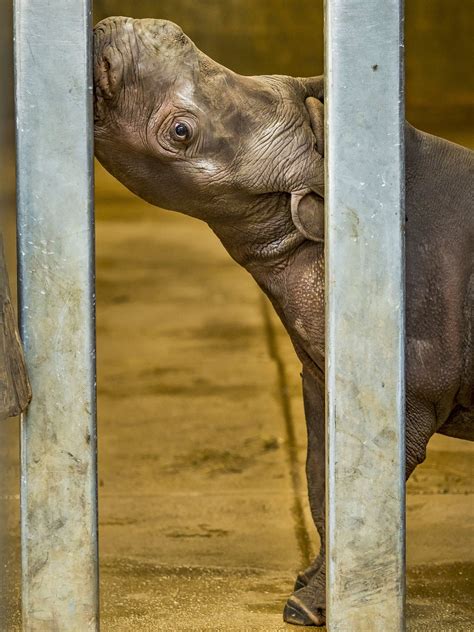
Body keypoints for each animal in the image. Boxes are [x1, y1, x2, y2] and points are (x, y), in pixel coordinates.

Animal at [93, 14, 474, 628]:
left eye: (181, 133)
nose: (142, 25)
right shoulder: (322, 369)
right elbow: (322, 476)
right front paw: (307, 590)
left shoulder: (411, 385)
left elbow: (363, 481)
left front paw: (310, 605)